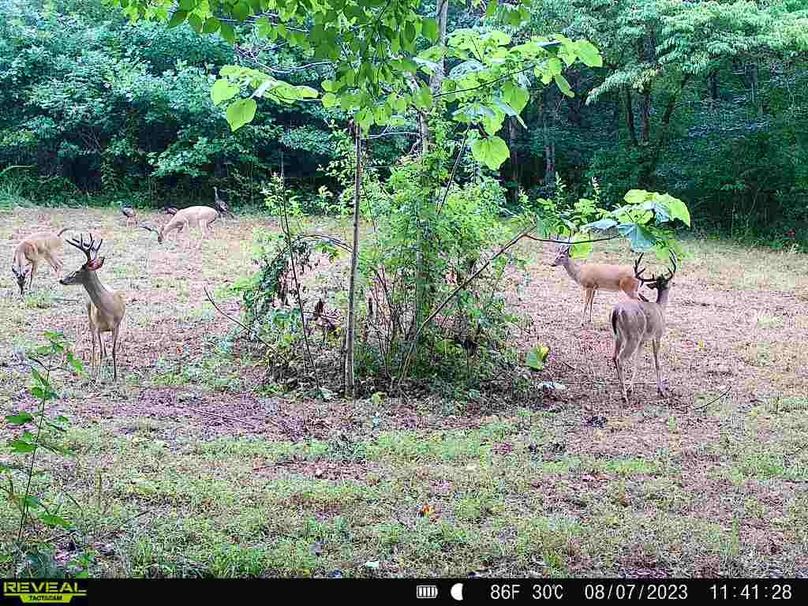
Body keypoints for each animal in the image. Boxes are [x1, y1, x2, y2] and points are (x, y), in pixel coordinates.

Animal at [59, 233, 126, 381]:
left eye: (77, 271)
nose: (62, 279)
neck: (109, 311)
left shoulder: (117, 326)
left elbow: (113, 351)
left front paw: (115, 376)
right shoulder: (99, 327)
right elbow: (99, 350)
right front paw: (98, 375)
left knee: (104, 349)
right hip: (90, 318)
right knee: (94, 344)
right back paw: (93, 370)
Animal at [610, 254, 677, 404]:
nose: (672, 283)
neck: (661, 308)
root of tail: (617, 311)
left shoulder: (643, 340)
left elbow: (637, 362)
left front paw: (631, 388)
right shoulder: (657, 335)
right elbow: (657, 362)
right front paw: (661, 390)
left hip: (619, 336)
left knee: (614, 356)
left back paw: (623, 388)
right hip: (632, 336)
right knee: (621, 358)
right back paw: (624, 395)